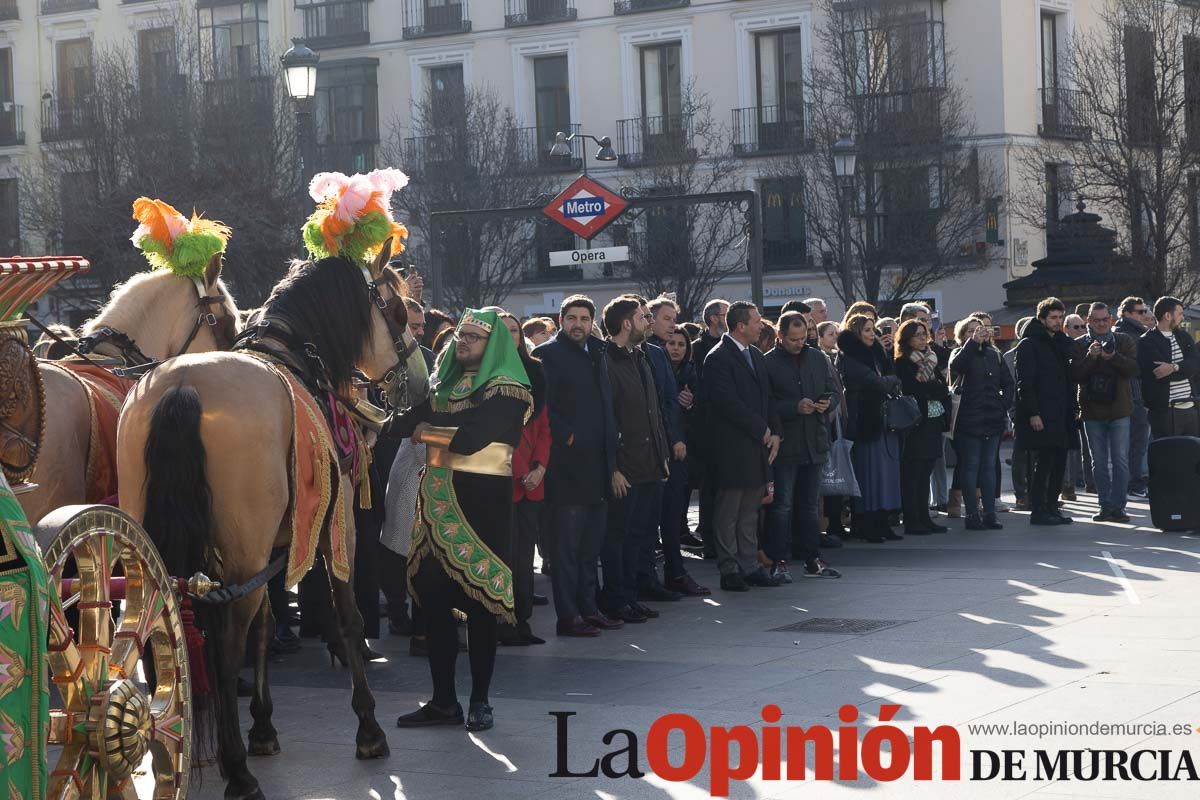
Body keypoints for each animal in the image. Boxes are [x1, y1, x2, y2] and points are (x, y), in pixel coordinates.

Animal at [113, 242, 432, 800]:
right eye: (396, 309)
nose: (420, 378)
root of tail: (182, 385)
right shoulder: (335, 527)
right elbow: (347, 616)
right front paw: (368, 727)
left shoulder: (272, 544)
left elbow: (265, 624)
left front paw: (263, 725)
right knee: (225, 649)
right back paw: (236, 771)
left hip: (164, 544)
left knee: (164, 634)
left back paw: (170, 744)